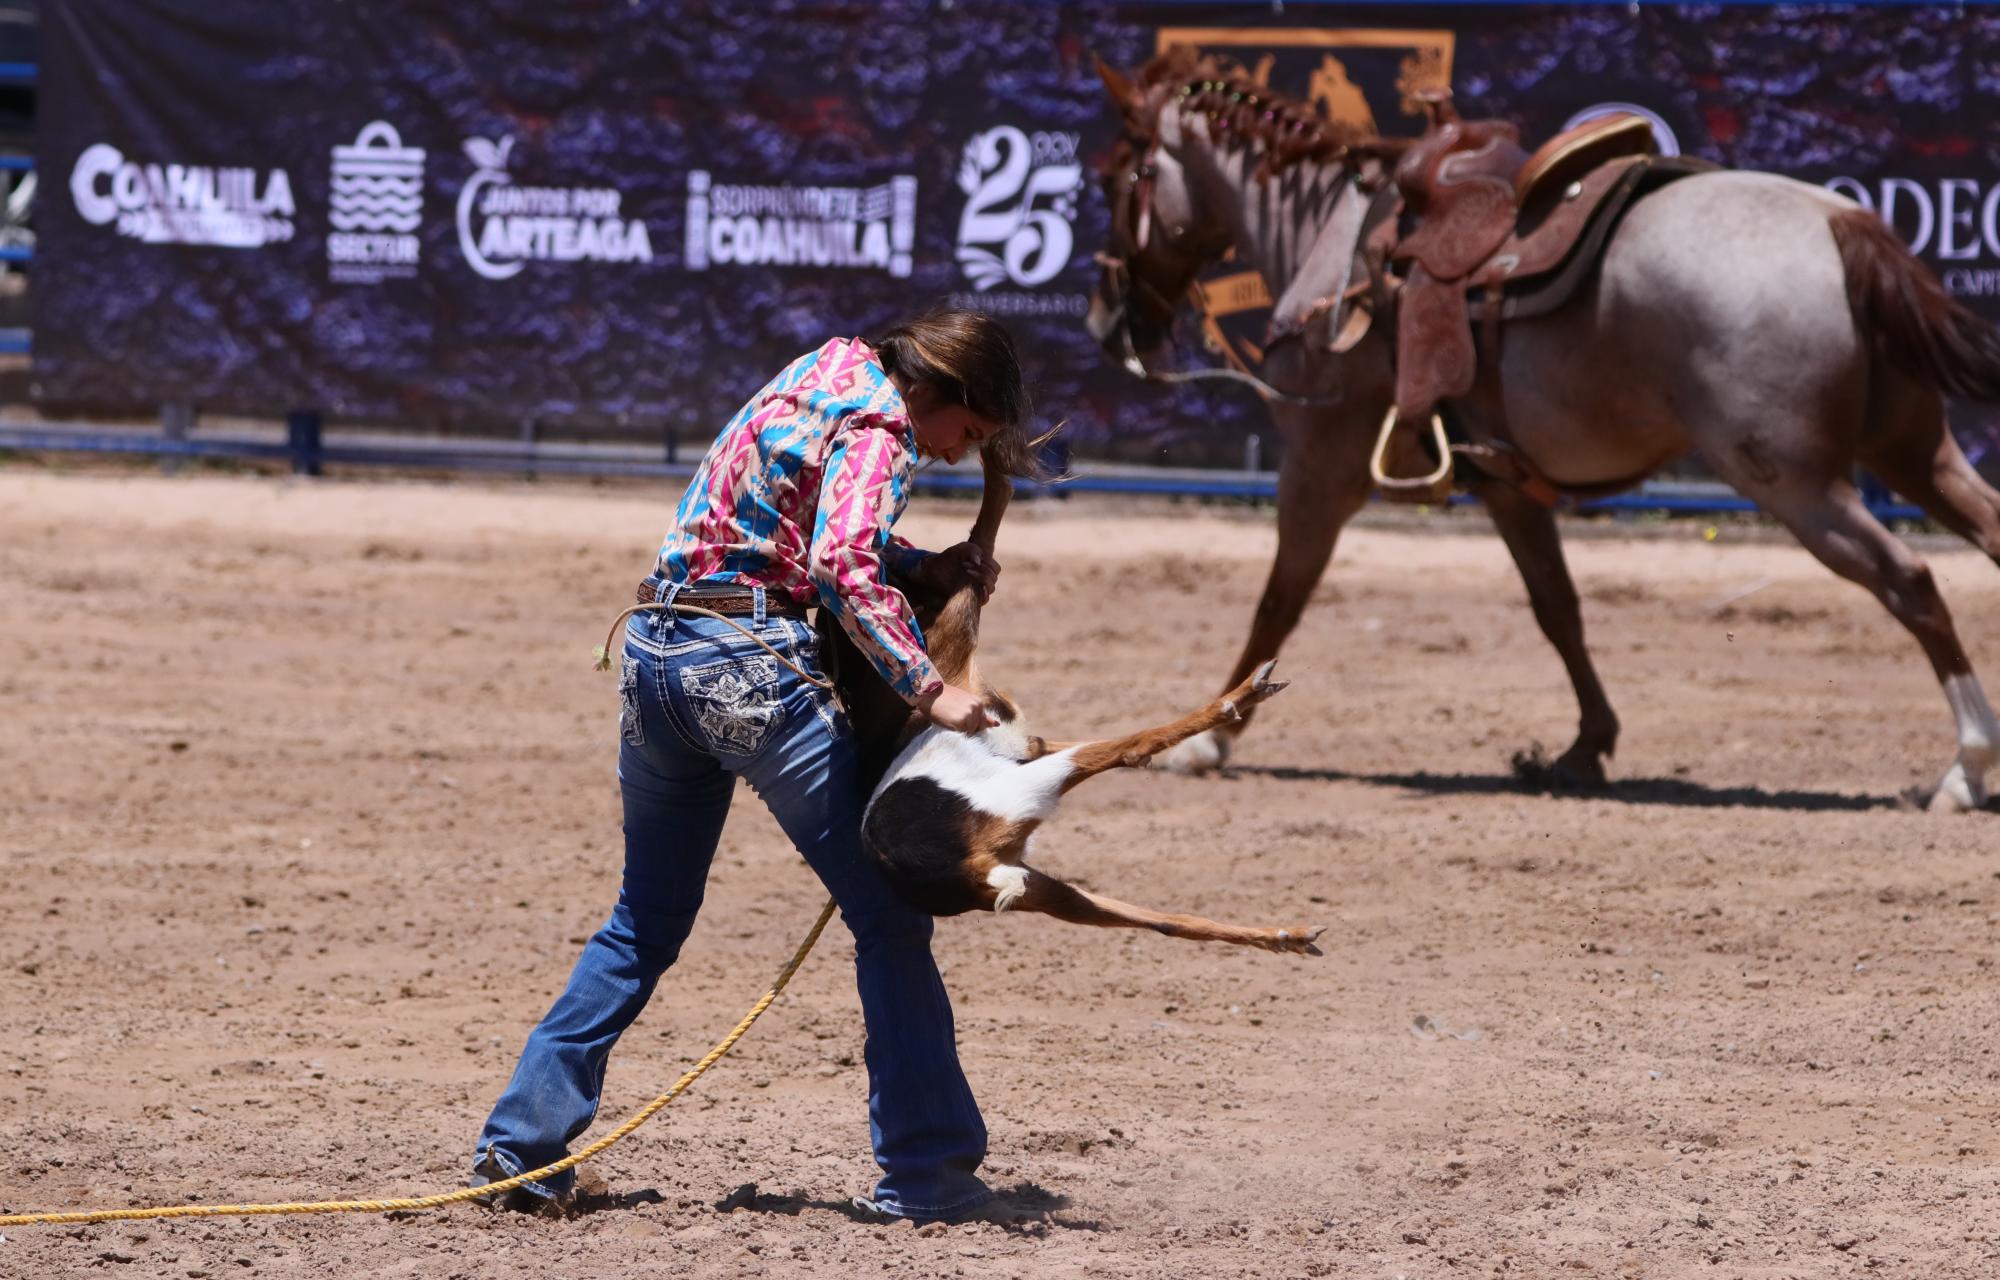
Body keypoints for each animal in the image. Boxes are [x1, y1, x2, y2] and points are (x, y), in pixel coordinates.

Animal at [1096, 50, 2000, 816]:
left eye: (1121, 176)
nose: (1110, 318)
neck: (1338, 243)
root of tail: (1838, 222)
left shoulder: (1321, 467)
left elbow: (1278, 602)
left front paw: (1210, 738)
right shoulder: (1506, 485)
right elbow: (1557, 608)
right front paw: (1585, 747)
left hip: (1798, 483)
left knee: (1912, 582)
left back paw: (1966, 767)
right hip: (1913, 452)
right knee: (1985, 531)